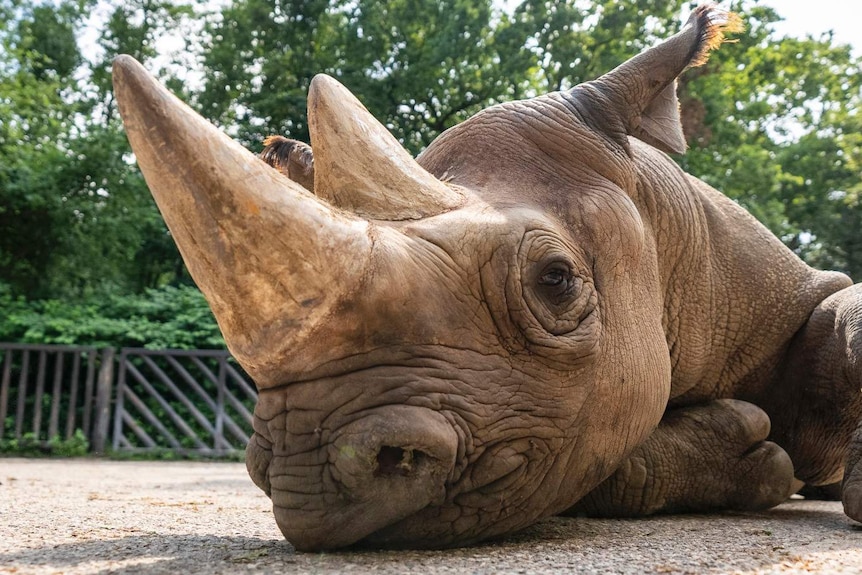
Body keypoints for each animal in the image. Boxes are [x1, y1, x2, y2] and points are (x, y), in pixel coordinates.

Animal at [111, 5, 860, 552]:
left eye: (557, 281)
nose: (308, 472)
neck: (657, 228)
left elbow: (837, 319)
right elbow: (612, 461)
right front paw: (754, 452)